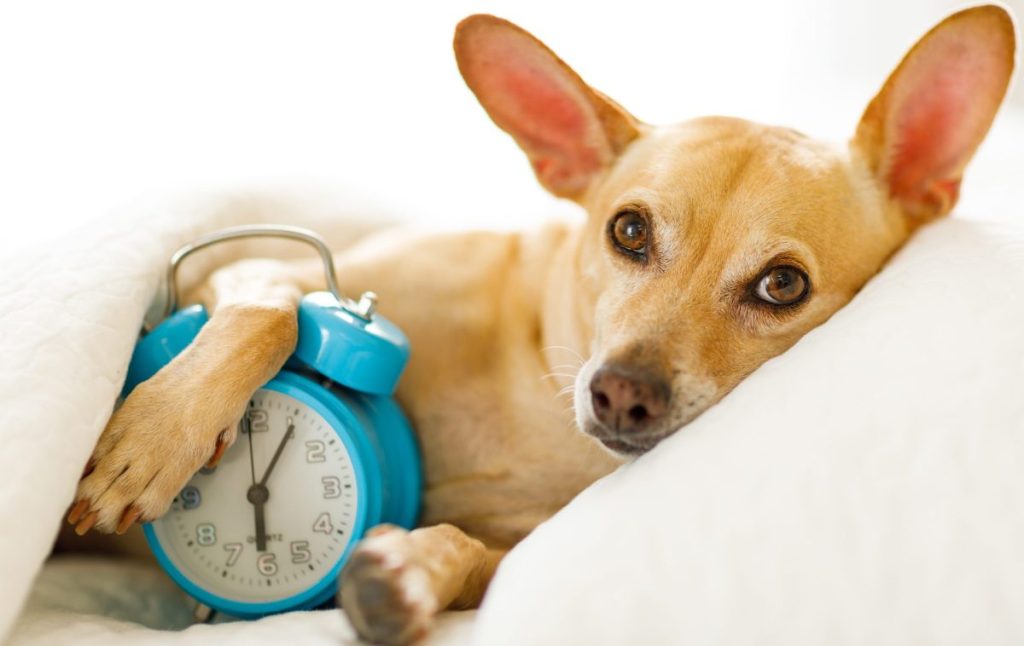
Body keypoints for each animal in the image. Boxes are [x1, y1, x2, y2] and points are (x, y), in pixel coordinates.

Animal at [66, 6, 1015, 646]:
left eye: (783, 285)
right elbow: (269, 311)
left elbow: (466, 552)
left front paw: (405, 575)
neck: (535, 398)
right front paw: (152, 442)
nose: (622, 394)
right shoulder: (265, 269)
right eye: (628, 231)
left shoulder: (519, 543)